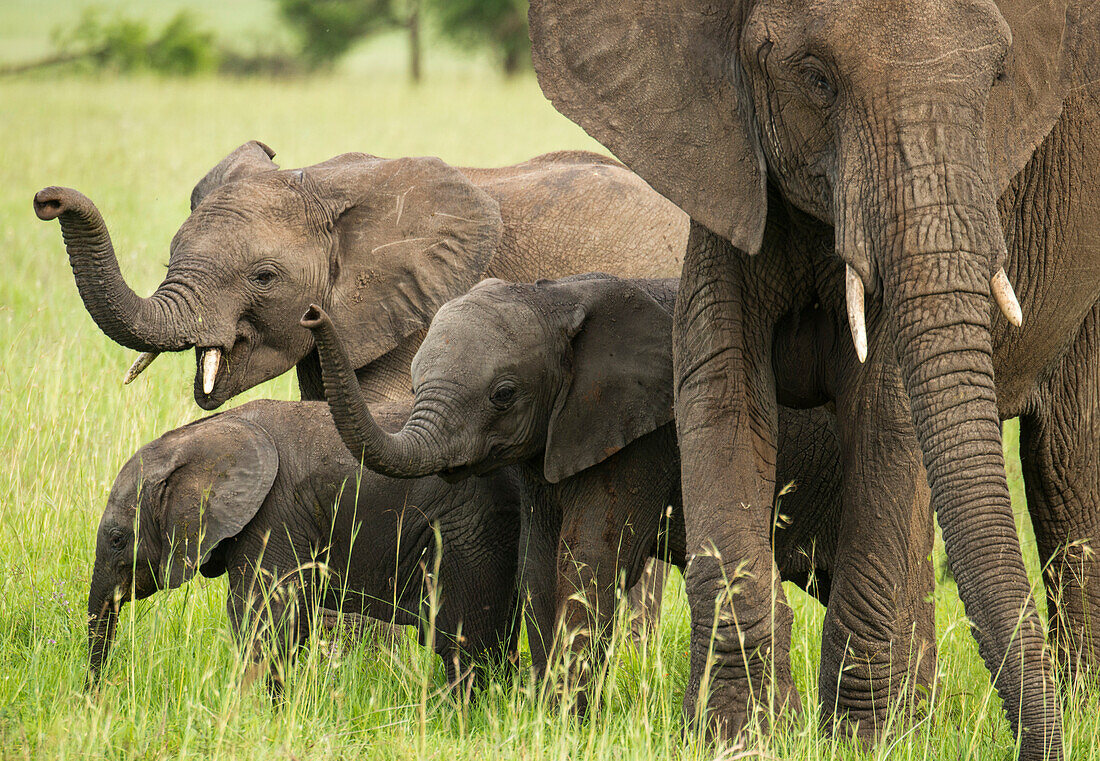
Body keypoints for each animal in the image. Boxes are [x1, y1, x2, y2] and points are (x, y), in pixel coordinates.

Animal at [85, 400, 523, 690]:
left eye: (118, 539)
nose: (95, 696)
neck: (199, 435)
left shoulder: (273, 515)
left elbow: (263, 621)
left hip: (467, 531)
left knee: (464, 644)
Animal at [297, 274, 906, 721]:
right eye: (414, 381)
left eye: (504, 395)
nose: (312, 313)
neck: (556, 298)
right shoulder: (551, 444)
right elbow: (540, 561)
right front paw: (545, 719)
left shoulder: (644, 434)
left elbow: (589, 556)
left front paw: (565, 721)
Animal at [528, 2, 1095, 756]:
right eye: (816, 79)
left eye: (997, 78)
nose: (1031, 742)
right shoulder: (725, 168)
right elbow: (724, 398)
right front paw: (737, 735)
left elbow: (885, 417)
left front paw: (857, 741)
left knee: (1068, 469)